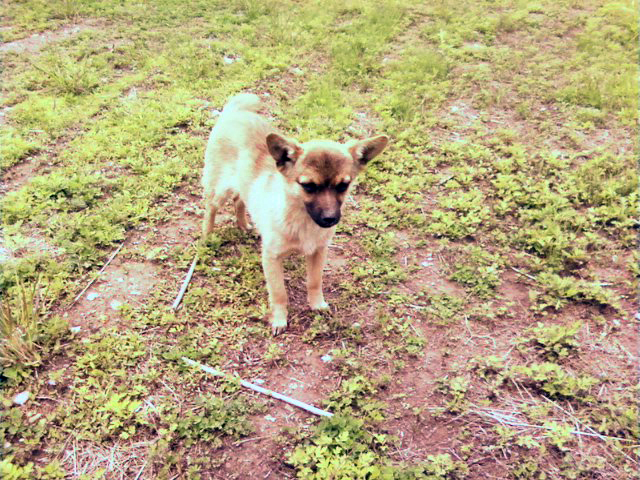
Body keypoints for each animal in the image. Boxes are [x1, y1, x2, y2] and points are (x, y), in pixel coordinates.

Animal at [201, 93, 388, 335]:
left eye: (343, 186)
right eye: (308, 186)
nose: (330, 219)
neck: (302, 221)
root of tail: (235, 112)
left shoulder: (318, 252)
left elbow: (314, 282)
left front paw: (317, 304)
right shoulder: (272, 258)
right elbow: (279, 293)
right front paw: (280, 318)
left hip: (241, 186)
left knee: (239, 200)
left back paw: (243, 224)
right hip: (220, 189)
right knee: (211, 207)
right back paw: (207, 236)